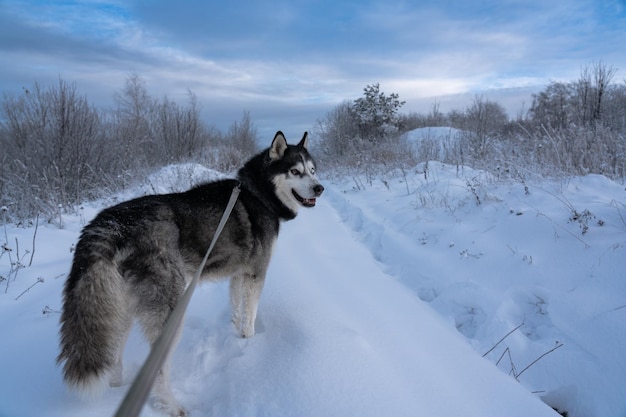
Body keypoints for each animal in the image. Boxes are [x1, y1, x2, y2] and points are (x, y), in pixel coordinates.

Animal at [57, 132, 322, 414]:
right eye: (295, 171)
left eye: (312, 170)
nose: (320, 188)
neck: (258, 194)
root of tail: (112, 223)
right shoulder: (255, 274)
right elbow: (250, 316)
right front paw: (249, 344)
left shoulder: (238, 274)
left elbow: (236, 308)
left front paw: (235, 334)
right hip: (170, 312)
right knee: (159, 370)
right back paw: (172, 406)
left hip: (121, 310)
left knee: (115, 354)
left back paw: (118, 389)